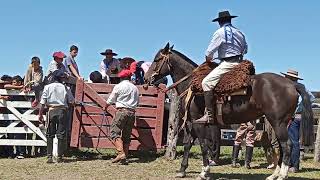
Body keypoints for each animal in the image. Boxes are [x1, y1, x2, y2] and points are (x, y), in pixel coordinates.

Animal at [144, 43, 314, 179]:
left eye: (157, 59)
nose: (146, 79)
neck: (192, 84)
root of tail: (292, 85)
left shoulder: (198, 123)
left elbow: (203, 145)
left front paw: (204, 172)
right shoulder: (192, 123)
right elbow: (187, 144)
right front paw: (182, 170)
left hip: (278, 123)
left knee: (287, 146)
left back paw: (282, 175)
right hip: (280, 123)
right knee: (281, 146)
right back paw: (274, 174)